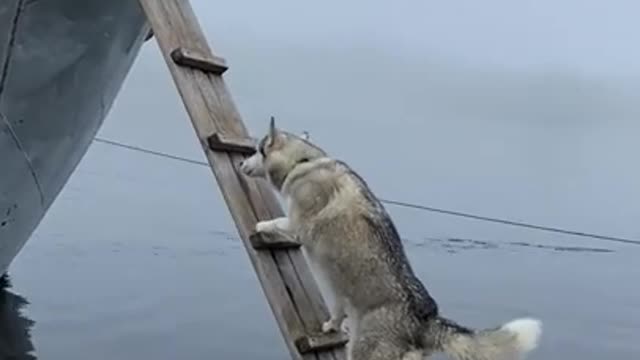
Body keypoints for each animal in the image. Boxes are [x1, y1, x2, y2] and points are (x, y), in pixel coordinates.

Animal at [239, 116, 540, 358]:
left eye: (257, 149)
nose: (241, 162)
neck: (304, 162)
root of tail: (425, 320)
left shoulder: (297, 225)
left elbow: (275, 222)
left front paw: (260, 225)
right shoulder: (337, 287)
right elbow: (336, 311)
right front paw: (331, 326)